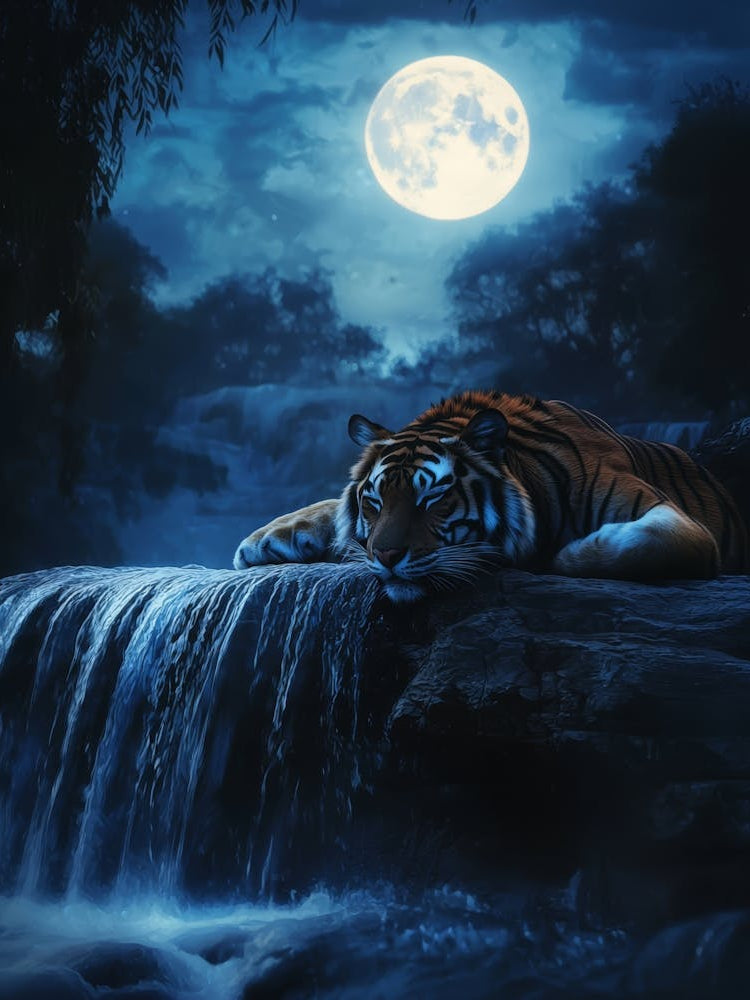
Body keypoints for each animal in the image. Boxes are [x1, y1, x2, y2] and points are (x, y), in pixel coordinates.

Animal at [233, 391, 749, 602]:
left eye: (432, 499)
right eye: (374, 502)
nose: (386, 557)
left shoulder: (677, 521)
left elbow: (646, 542)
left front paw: (565, 556)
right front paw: (264, 541)